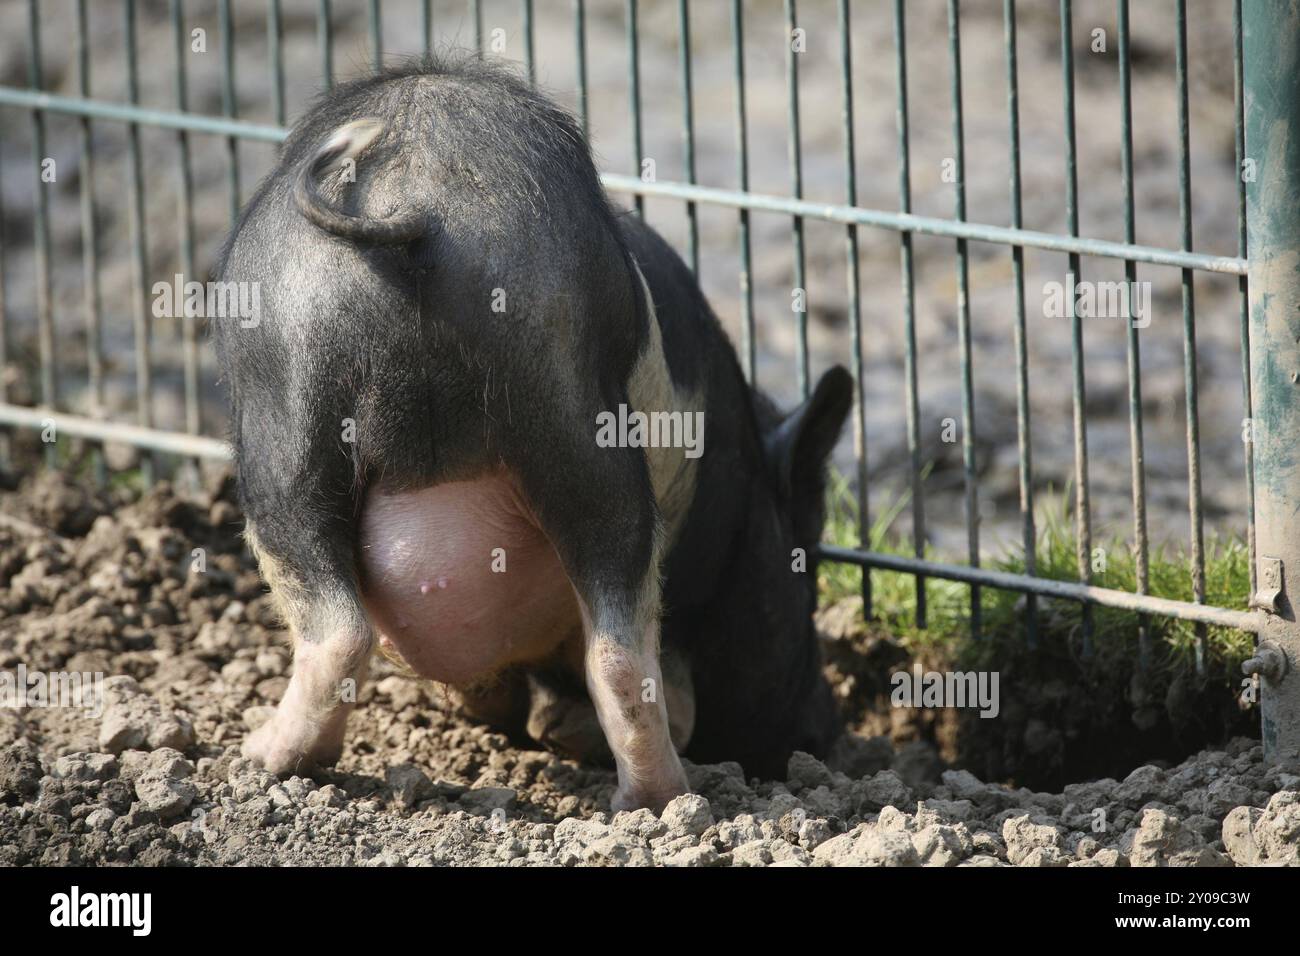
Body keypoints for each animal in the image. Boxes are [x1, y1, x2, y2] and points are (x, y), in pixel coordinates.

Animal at [214, 55, 851, 812]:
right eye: (804, 569)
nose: (823, 731)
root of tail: (410, 202)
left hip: (299, 400)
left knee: (344, 620)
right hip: (506, 399)